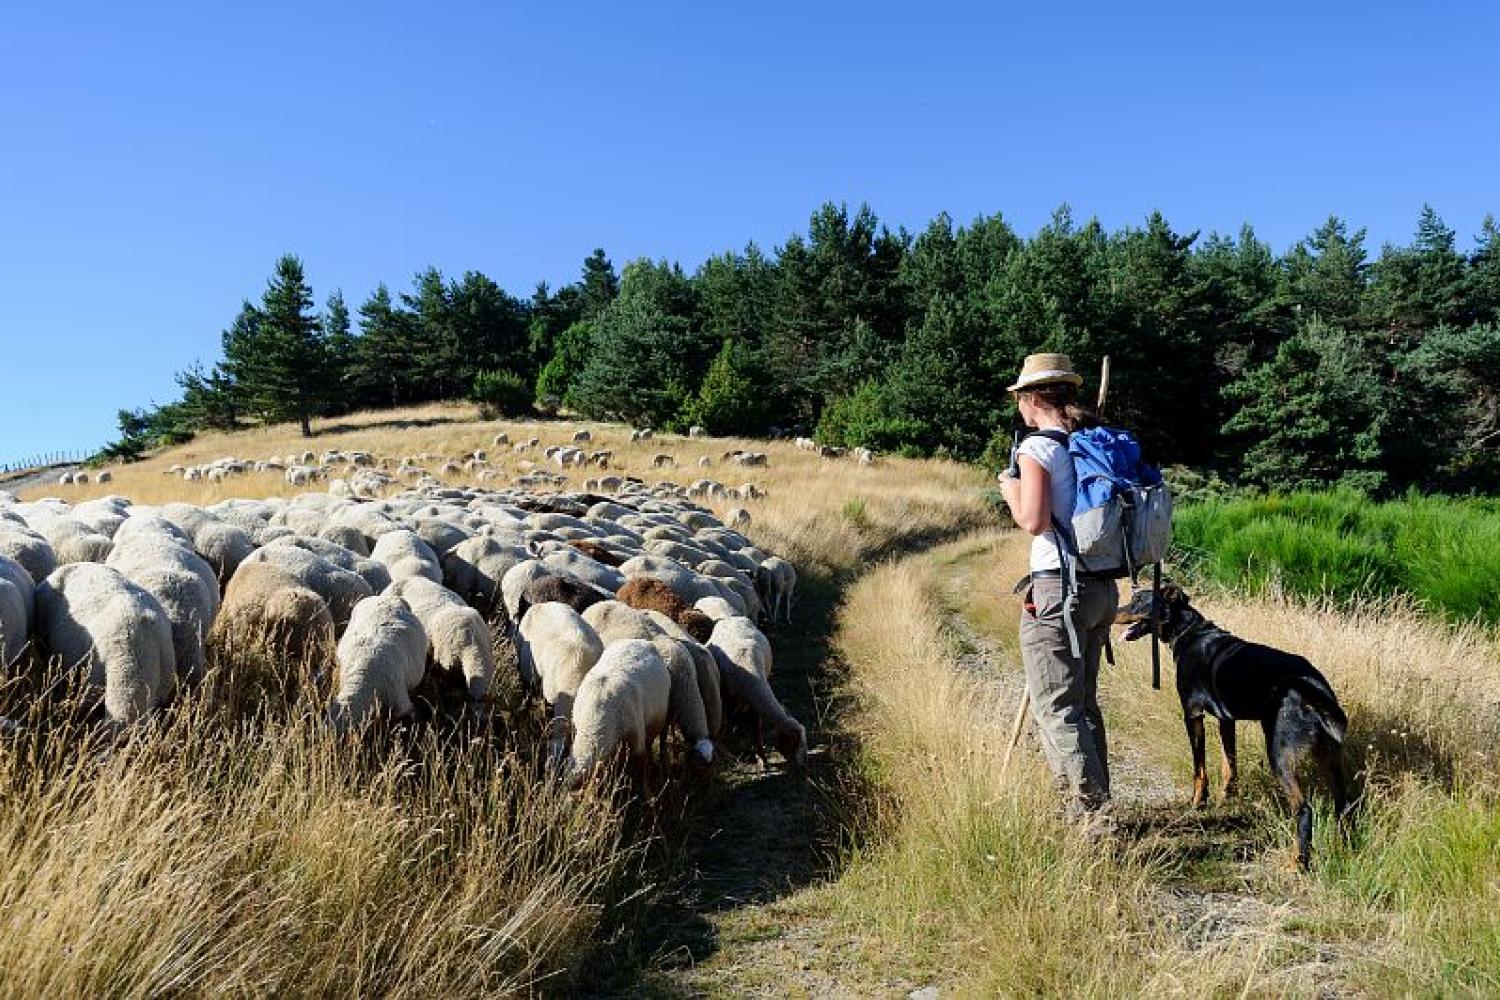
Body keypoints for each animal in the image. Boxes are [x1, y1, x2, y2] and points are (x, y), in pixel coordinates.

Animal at [1122, 587, 1356, 869]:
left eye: (1138, 601)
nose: (1114, 612)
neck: (1188, 632)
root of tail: (1312, 688)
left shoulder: (1193, 714)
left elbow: (1199, 768)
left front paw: (1198, 802)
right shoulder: (1226, 719)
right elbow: (1229, 765)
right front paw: (1226, 798)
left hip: (1279, 754)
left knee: (1303, 809)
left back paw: (1298, 862)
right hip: (1328, 754)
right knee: (1343, 803)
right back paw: (1345, 850)